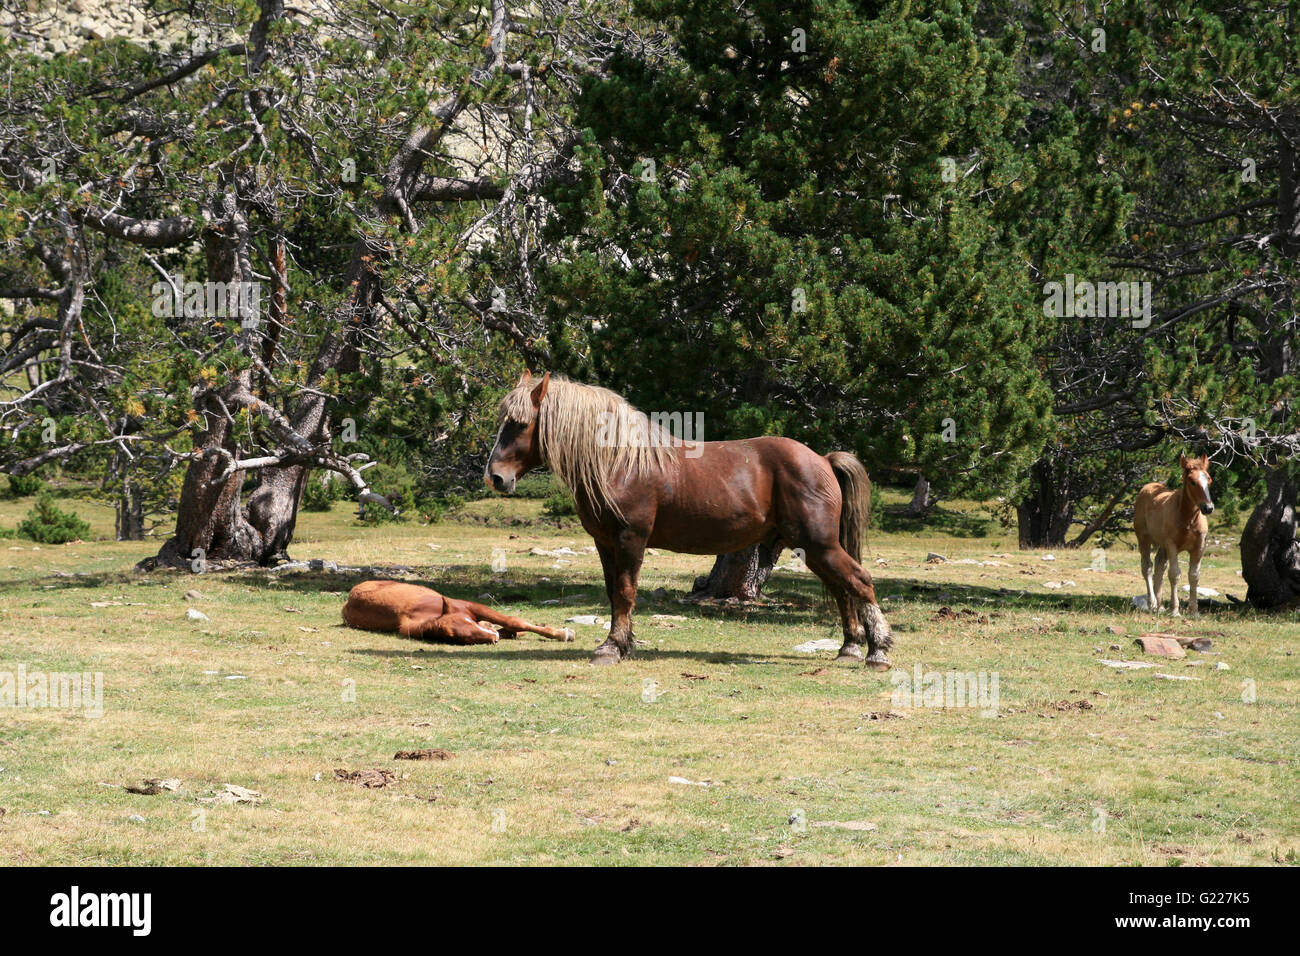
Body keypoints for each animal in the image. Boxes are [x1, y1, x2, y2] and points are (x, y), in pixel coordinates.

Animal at [342, 580, 575, 644]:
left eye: (467, 621)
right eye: (465, 637)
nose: (494, 638)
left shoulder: (472, 606)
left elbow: (514, 621)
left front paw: (562, 633)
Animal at [484, 371, 894, 668]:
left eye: (520, 424)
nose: (496, 477)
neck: (619, 462)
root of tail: (822, 459)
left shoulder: (630, 538)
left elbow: (625, 591)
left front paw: (612, 648)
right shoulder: (604, 542)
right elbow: (613, 592)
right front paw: (624, 643)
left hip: (818, 544)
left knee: (859, 580)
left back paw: (877, 651)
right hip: (812, 548)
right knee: (843, 588)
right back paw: (849, 648)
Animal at [1133, 454, 1215, 617]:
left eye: (1209, 480)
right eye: (1192, 482)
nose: (1208, 508)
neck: (1188, 520)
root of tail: (1147, 486)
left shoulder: (1199, 547)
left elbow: (1194, 575)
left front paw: (1194, 611)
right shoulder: (1172, 545)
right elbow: (1174, 574)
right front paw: (1175, 610)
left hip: (1162, 545)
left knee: (1159, 566)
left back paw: (1160, 607)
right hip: (1144, 539)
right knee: (1147, 567)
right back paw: (1152, 603)